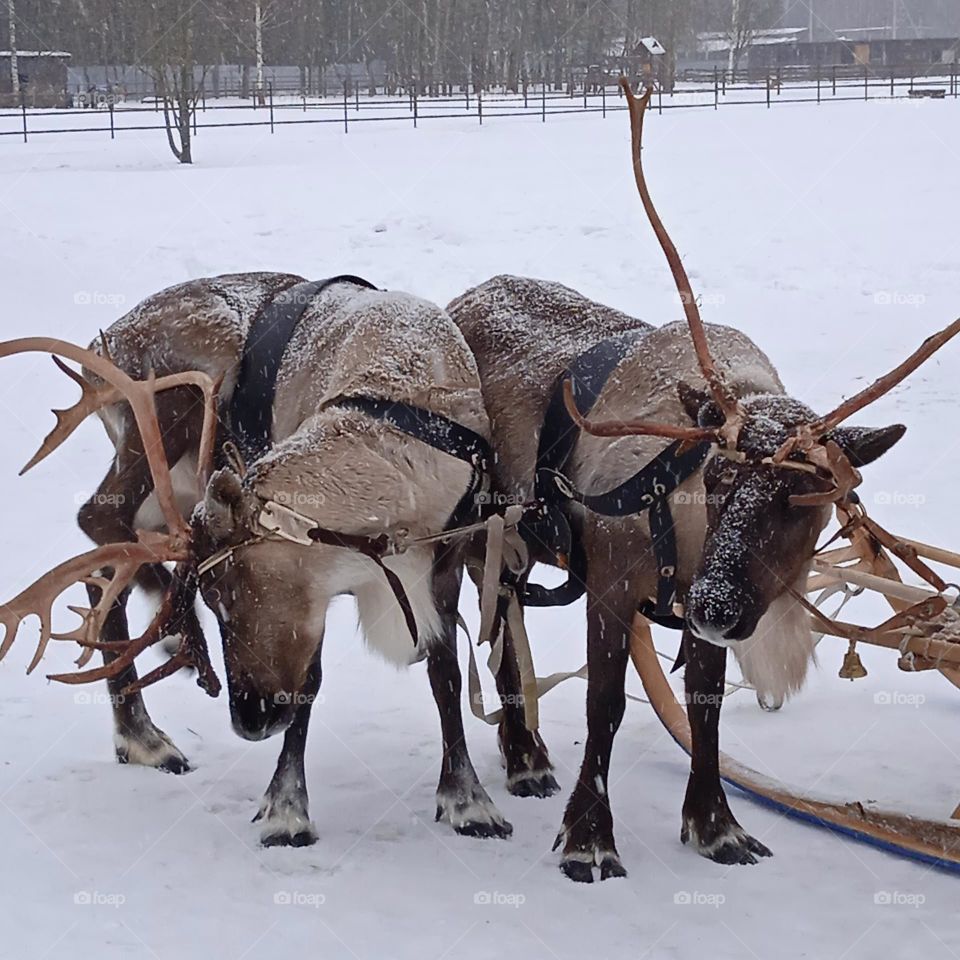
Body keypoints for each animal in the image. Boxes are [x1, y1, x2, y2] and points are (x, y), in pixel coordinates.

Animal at [0, 273, 557, 847]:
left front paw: (469, 802)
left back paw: (149, 700)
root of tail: (101, 345)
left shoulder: (440, 564)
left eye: (225, 590)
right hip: (167, 413)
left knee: (109, 554)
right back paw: (153, 706)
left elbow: (445, 674)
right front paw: (286, 810)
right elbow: (310, 685)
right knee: (99, 520)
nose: (250, 720)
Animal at [447, 81, 959, 882]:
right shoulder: (611, 581)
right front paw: (589, 839)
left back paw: (523, 753)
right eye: (717, 474)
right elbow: (604, 708)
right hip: (484, 532)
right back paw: (524, 760)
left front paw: (716, 826)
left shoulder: (696, 609)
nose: (718, 602)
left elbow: (707, 705)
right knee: (497, 621)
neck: (687, 538)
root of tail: (456, 299)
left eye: (804, 499)